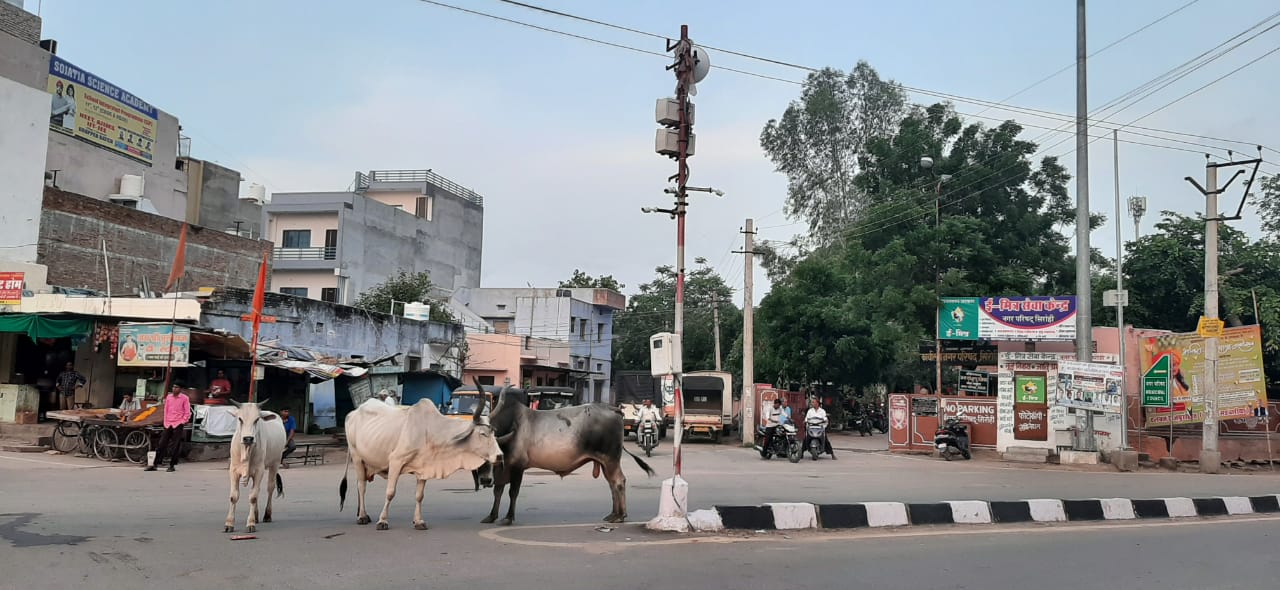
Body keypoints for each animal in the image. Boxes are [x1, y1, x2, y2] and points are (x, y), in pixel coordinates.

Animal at [224, 399, 286, 532]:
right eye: (240, 419)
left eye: (257, 419)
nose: (248, 438)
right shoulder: (233, 470)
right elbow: (233, 496)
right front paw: (229, 524)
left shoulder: (259, 470)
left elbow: (253, 497)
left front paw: (251, 523)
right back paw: (256, 516)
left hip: (275, 463)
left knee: (269, 488)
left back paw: (267, 515)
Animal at [340, 391, 504, 529]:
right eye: (483, 433)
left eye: (493, 433)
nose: (500, 456)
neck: (430, 431)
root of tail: (353, 413)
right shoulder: (396, 461)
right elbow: (390, 492)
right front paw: (382, 521)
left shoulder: (424, 467)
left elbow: (419, 496)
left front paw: (418, 521)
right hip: (357, 457)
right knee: (361, 486)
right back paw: (362, 516)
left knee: (360, 484)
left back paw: (363, 514)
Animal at [481, 391, 655, 524]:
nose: (484, 481)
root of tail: (614, 409)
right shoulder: (501, 471)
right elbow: (498, 491)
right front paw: (491, 516)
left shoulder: (518, 467)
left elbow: (513, 492)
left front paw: (508, 518)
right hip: (605, 462)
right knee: (612, 483)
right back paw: (613, 513)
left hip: (611, 459)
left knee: (618, 481)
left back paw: (620, 516)